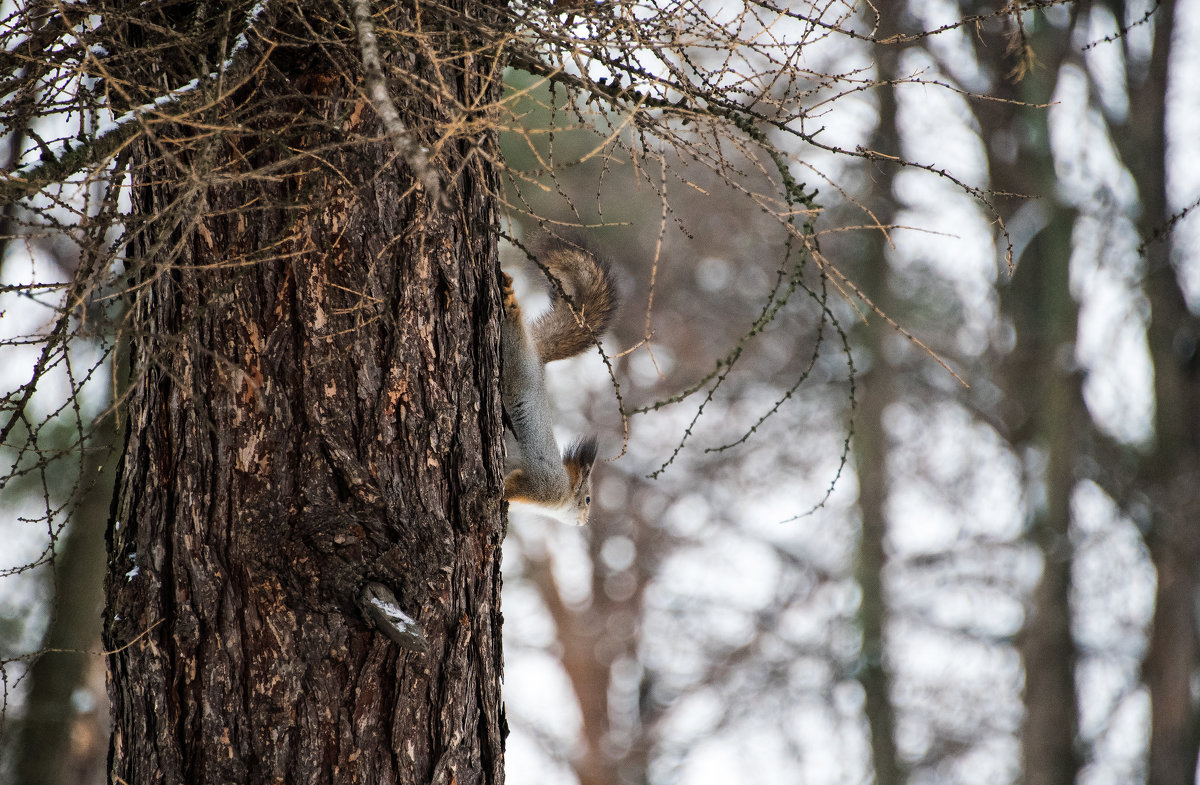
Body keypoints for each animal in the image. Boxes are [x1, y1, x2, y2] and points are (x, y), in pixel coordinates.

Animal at [501, 236, 624, 525]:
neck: (565, 492)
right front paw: (500, 492)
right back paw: (510, 301)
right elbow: (514, 486)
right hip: (517, 366)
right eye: (588, 499)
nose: (585, 521)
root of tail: (536, 355)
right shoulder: (545, 485)